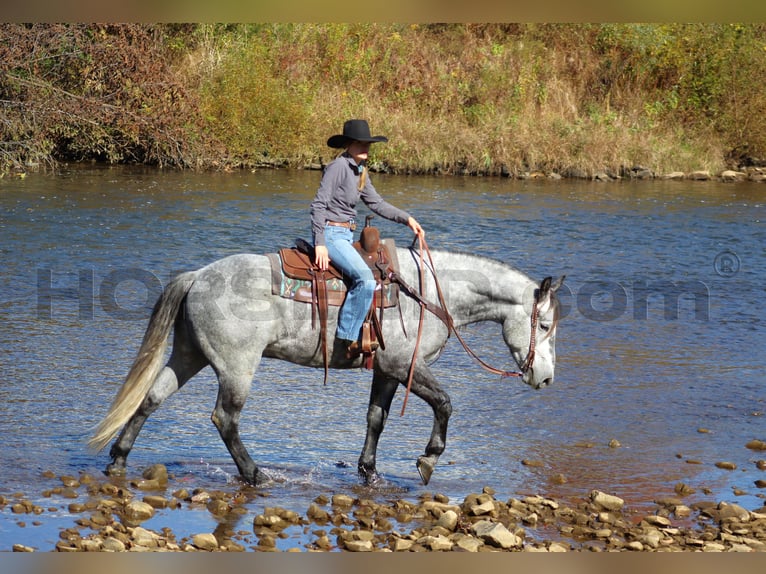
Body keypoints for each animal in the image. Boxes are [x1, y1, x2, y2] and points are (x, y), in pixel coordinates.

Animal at [90, 246, 564, 486]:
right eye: (544, 325)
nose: (545, 378)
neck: (428, 292)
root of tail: (197, 276)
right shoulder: (402, 365)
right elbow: (445, 403)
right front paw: (428, 459)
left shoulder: (385, 370)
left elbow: (376, 418)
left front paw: (369, 470)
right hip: (236, 367)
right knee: (225, 419)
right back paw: (255, 474)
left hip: (191, 355)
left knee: (151, 399)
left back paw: (118, 460)